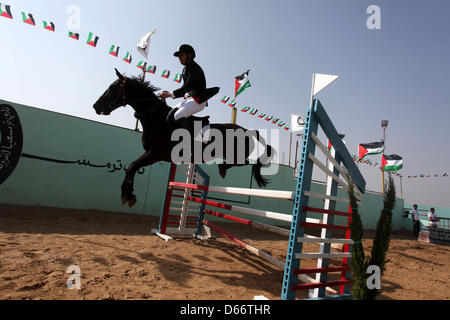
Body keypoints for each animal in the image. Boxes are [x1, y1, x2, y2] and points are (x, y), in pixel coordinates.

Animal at [93, 69, 272, 208]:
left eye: (113, 88)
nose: (95, 106)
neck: (155, 117)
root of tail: (247, 130)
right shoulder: (152, 153)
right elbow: (131, 167)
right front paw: (127, 194)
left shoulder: (155, 154)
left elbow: (132, 166)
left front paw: (127, 195)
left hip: (237, 155)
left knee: (247, 163)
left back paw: (222, 169)